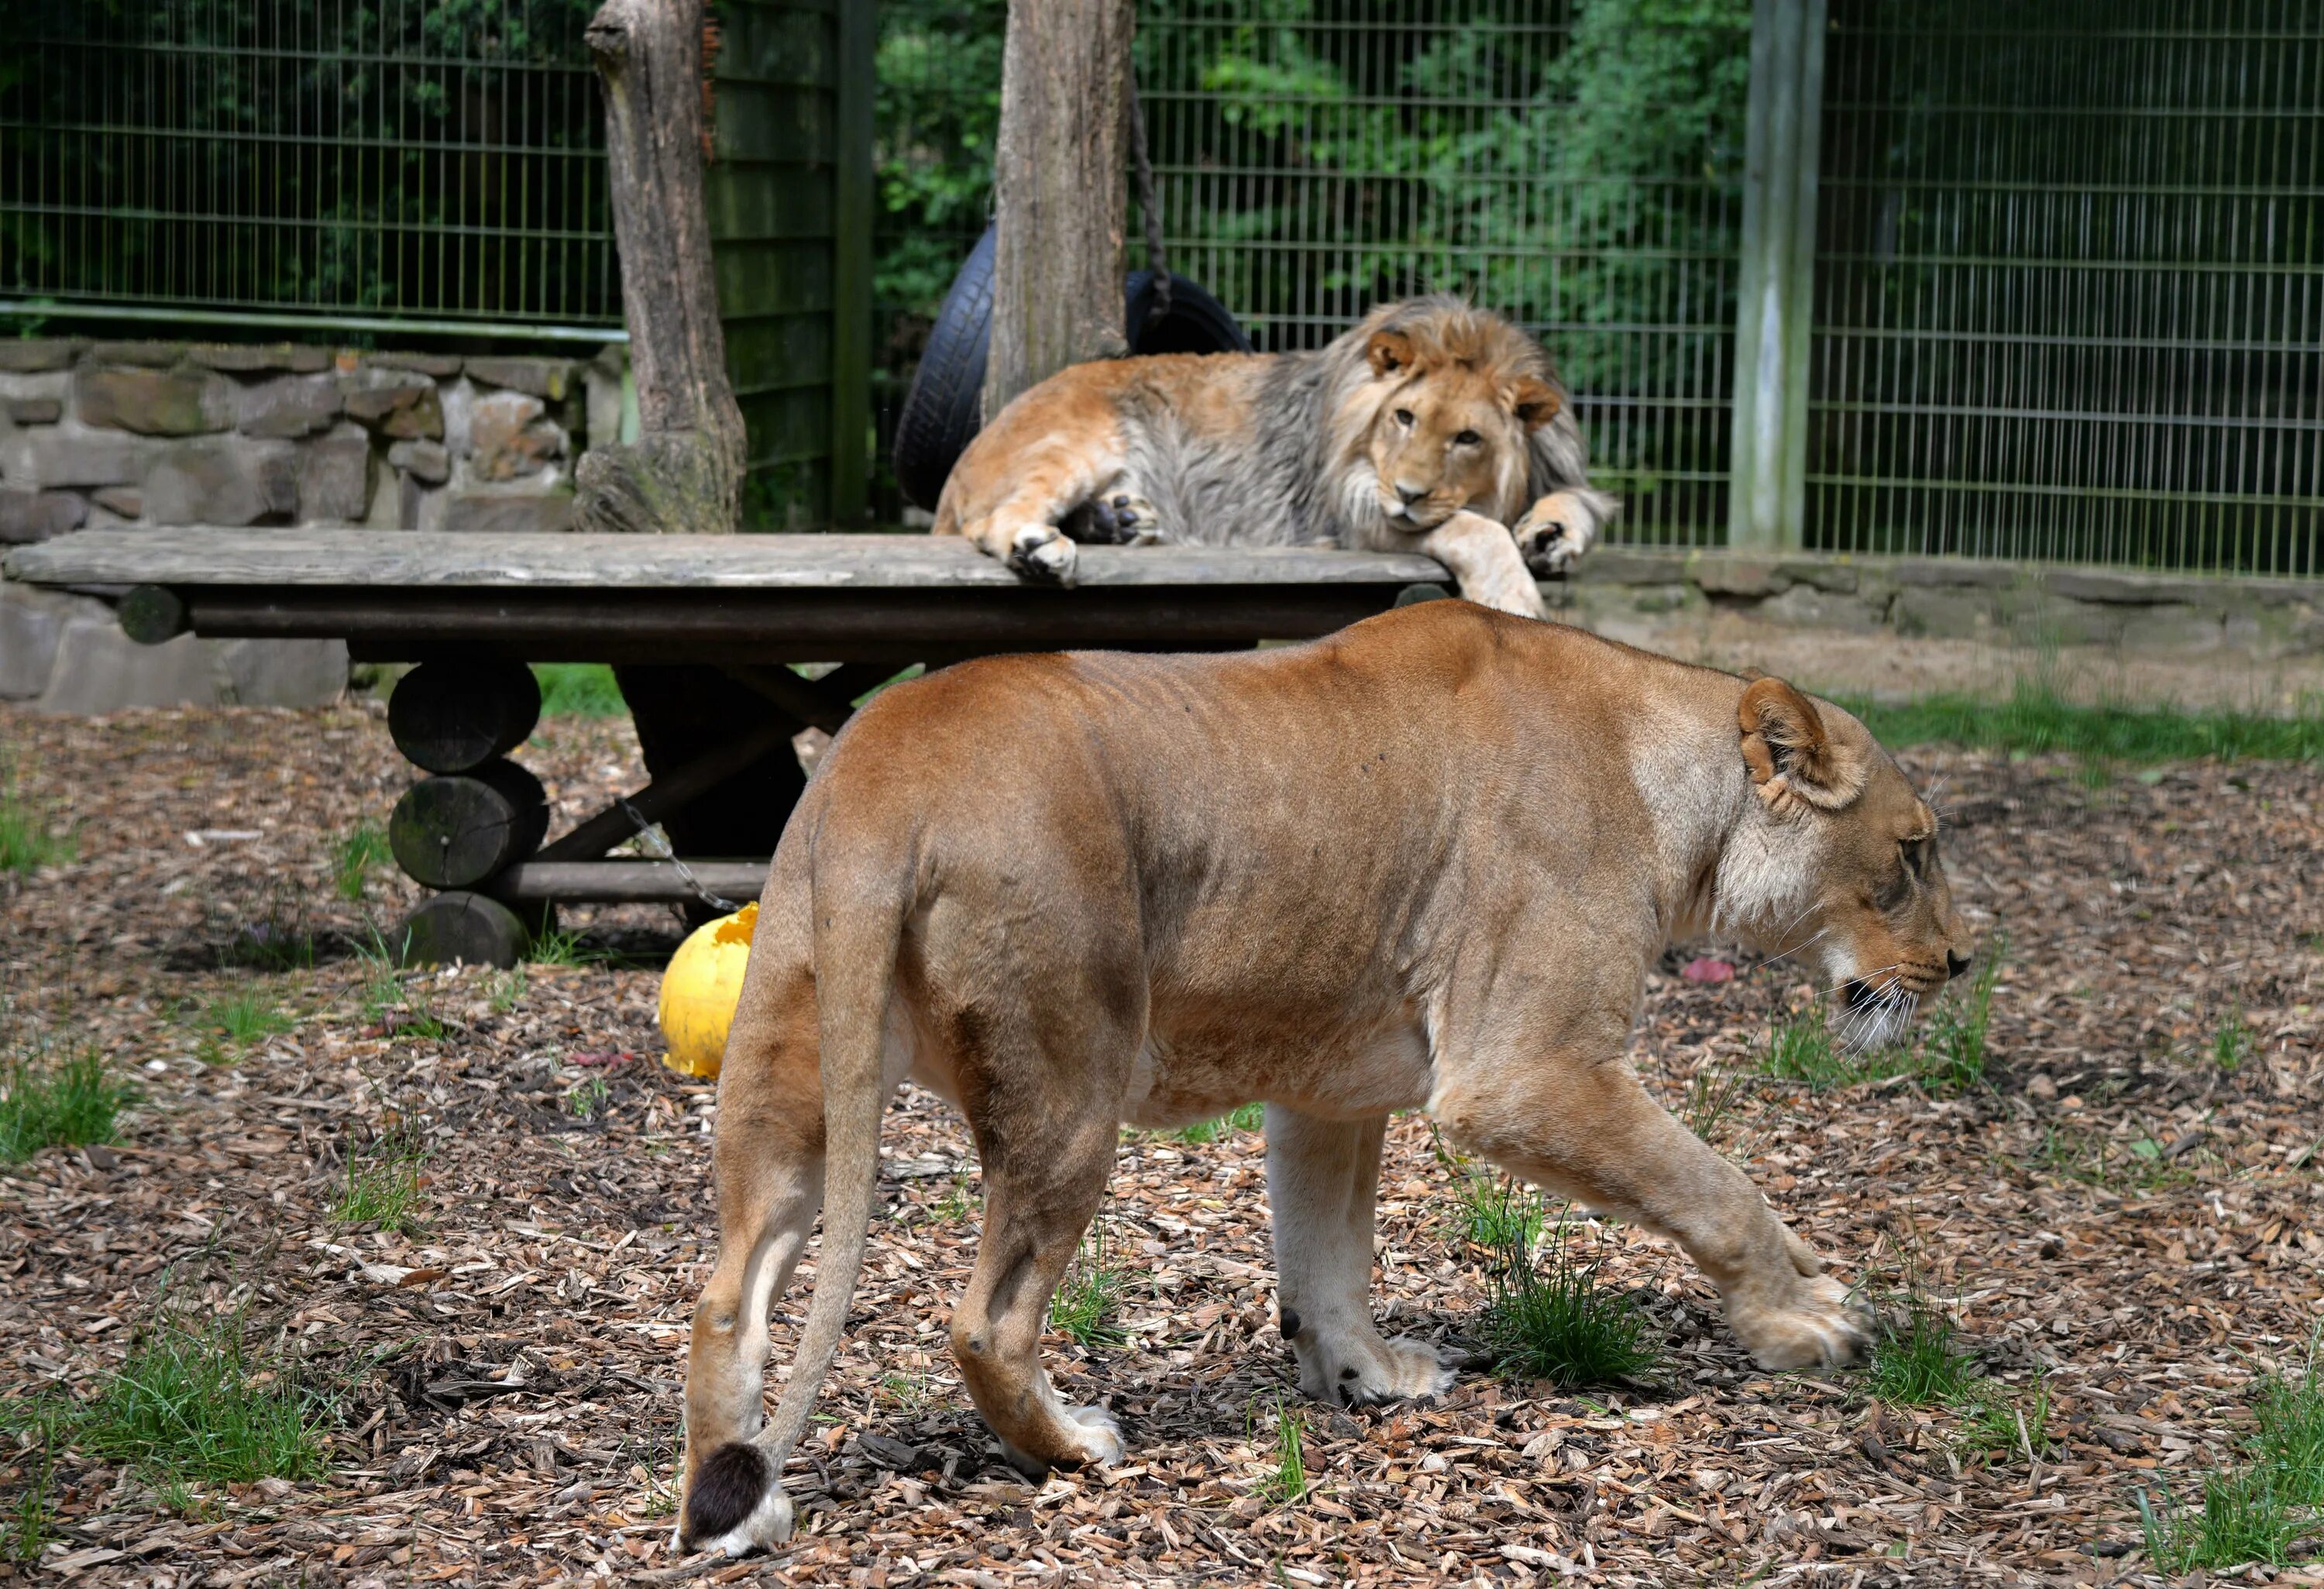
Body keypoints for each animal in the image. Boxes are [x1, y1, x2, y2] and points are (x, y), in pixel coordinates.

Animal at [674, 594, 1961, 1552]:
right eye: (1911, 850)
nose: (1959, 961)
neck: (1673, 788)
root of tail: (886, 768)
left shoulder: (1329, 1086)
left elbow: (1328, 1251)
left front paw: (1366, 1372)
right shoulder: (1526, 1067)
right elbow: (1715, 1183)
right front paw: (1803, 1321)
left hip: (790, 1072)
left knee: (728, 1290)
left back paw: (742, 1503)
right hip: (1071, 1082)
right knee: (985, 1318)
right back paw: (1074, 1446)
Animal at [925, 294, 1618, 617]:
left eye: (1467, 438)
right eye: (1405, 417)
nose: (1409, 494)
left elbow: (1581, 503)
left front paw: (1551, 533)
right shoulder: (1355, 511)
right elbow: (1474, 530)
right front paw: (1514, 598)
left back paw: (1119, 520)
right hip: (1078, 442)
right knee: (992, 520)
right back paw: (1040, 548)